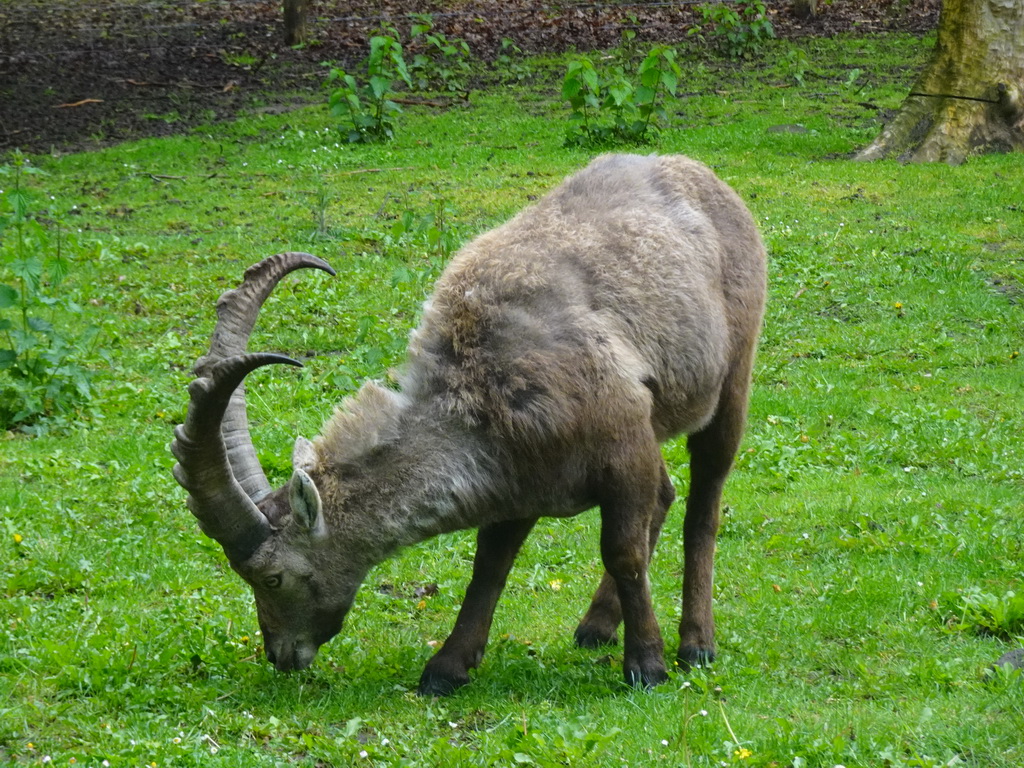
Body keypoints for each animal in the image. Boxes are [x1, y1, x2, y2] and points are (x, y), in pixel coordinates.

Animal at [172, 153, 765, 696]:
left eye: (271, 575)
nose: (281, 655)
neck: (484, 385)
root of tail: (700, 174)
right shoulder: (524, 480)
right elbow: (491, 564)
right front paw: (447, 667)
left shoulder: (623, 447)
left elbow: (624, 552)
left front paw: (647, 665)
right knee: (664, 495)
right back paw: (596, 626)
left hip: (731, 380)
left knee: (702, 507)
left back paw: (696, 643)